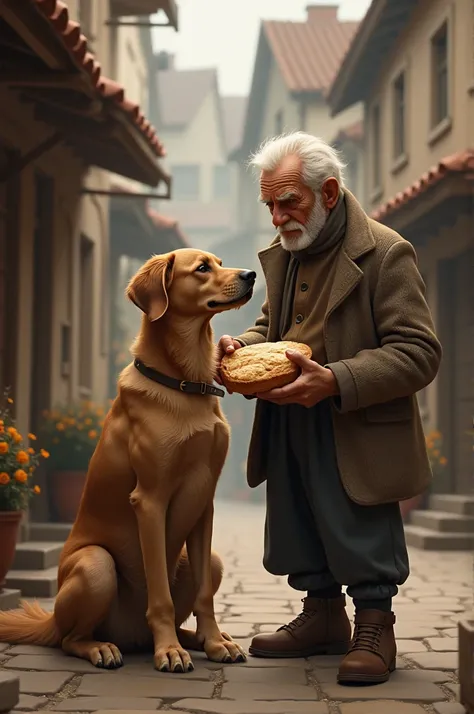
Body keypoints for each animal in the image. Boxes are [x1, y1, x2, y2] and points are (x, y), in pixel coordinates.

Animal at [0, 248, 256, 672]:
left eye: (220, 262)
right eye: (202, 268)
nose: (252, 274)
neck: (185, 383)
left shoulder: (205, 503)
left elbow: (204, 595)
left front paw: (215, 641)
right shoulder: (150, 500)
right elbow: (160, 596)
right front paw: (169, 651)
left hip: (210, 559)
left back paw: (197, 639)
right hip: (96, 565)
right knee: (71, 639)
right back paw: (106, 648)